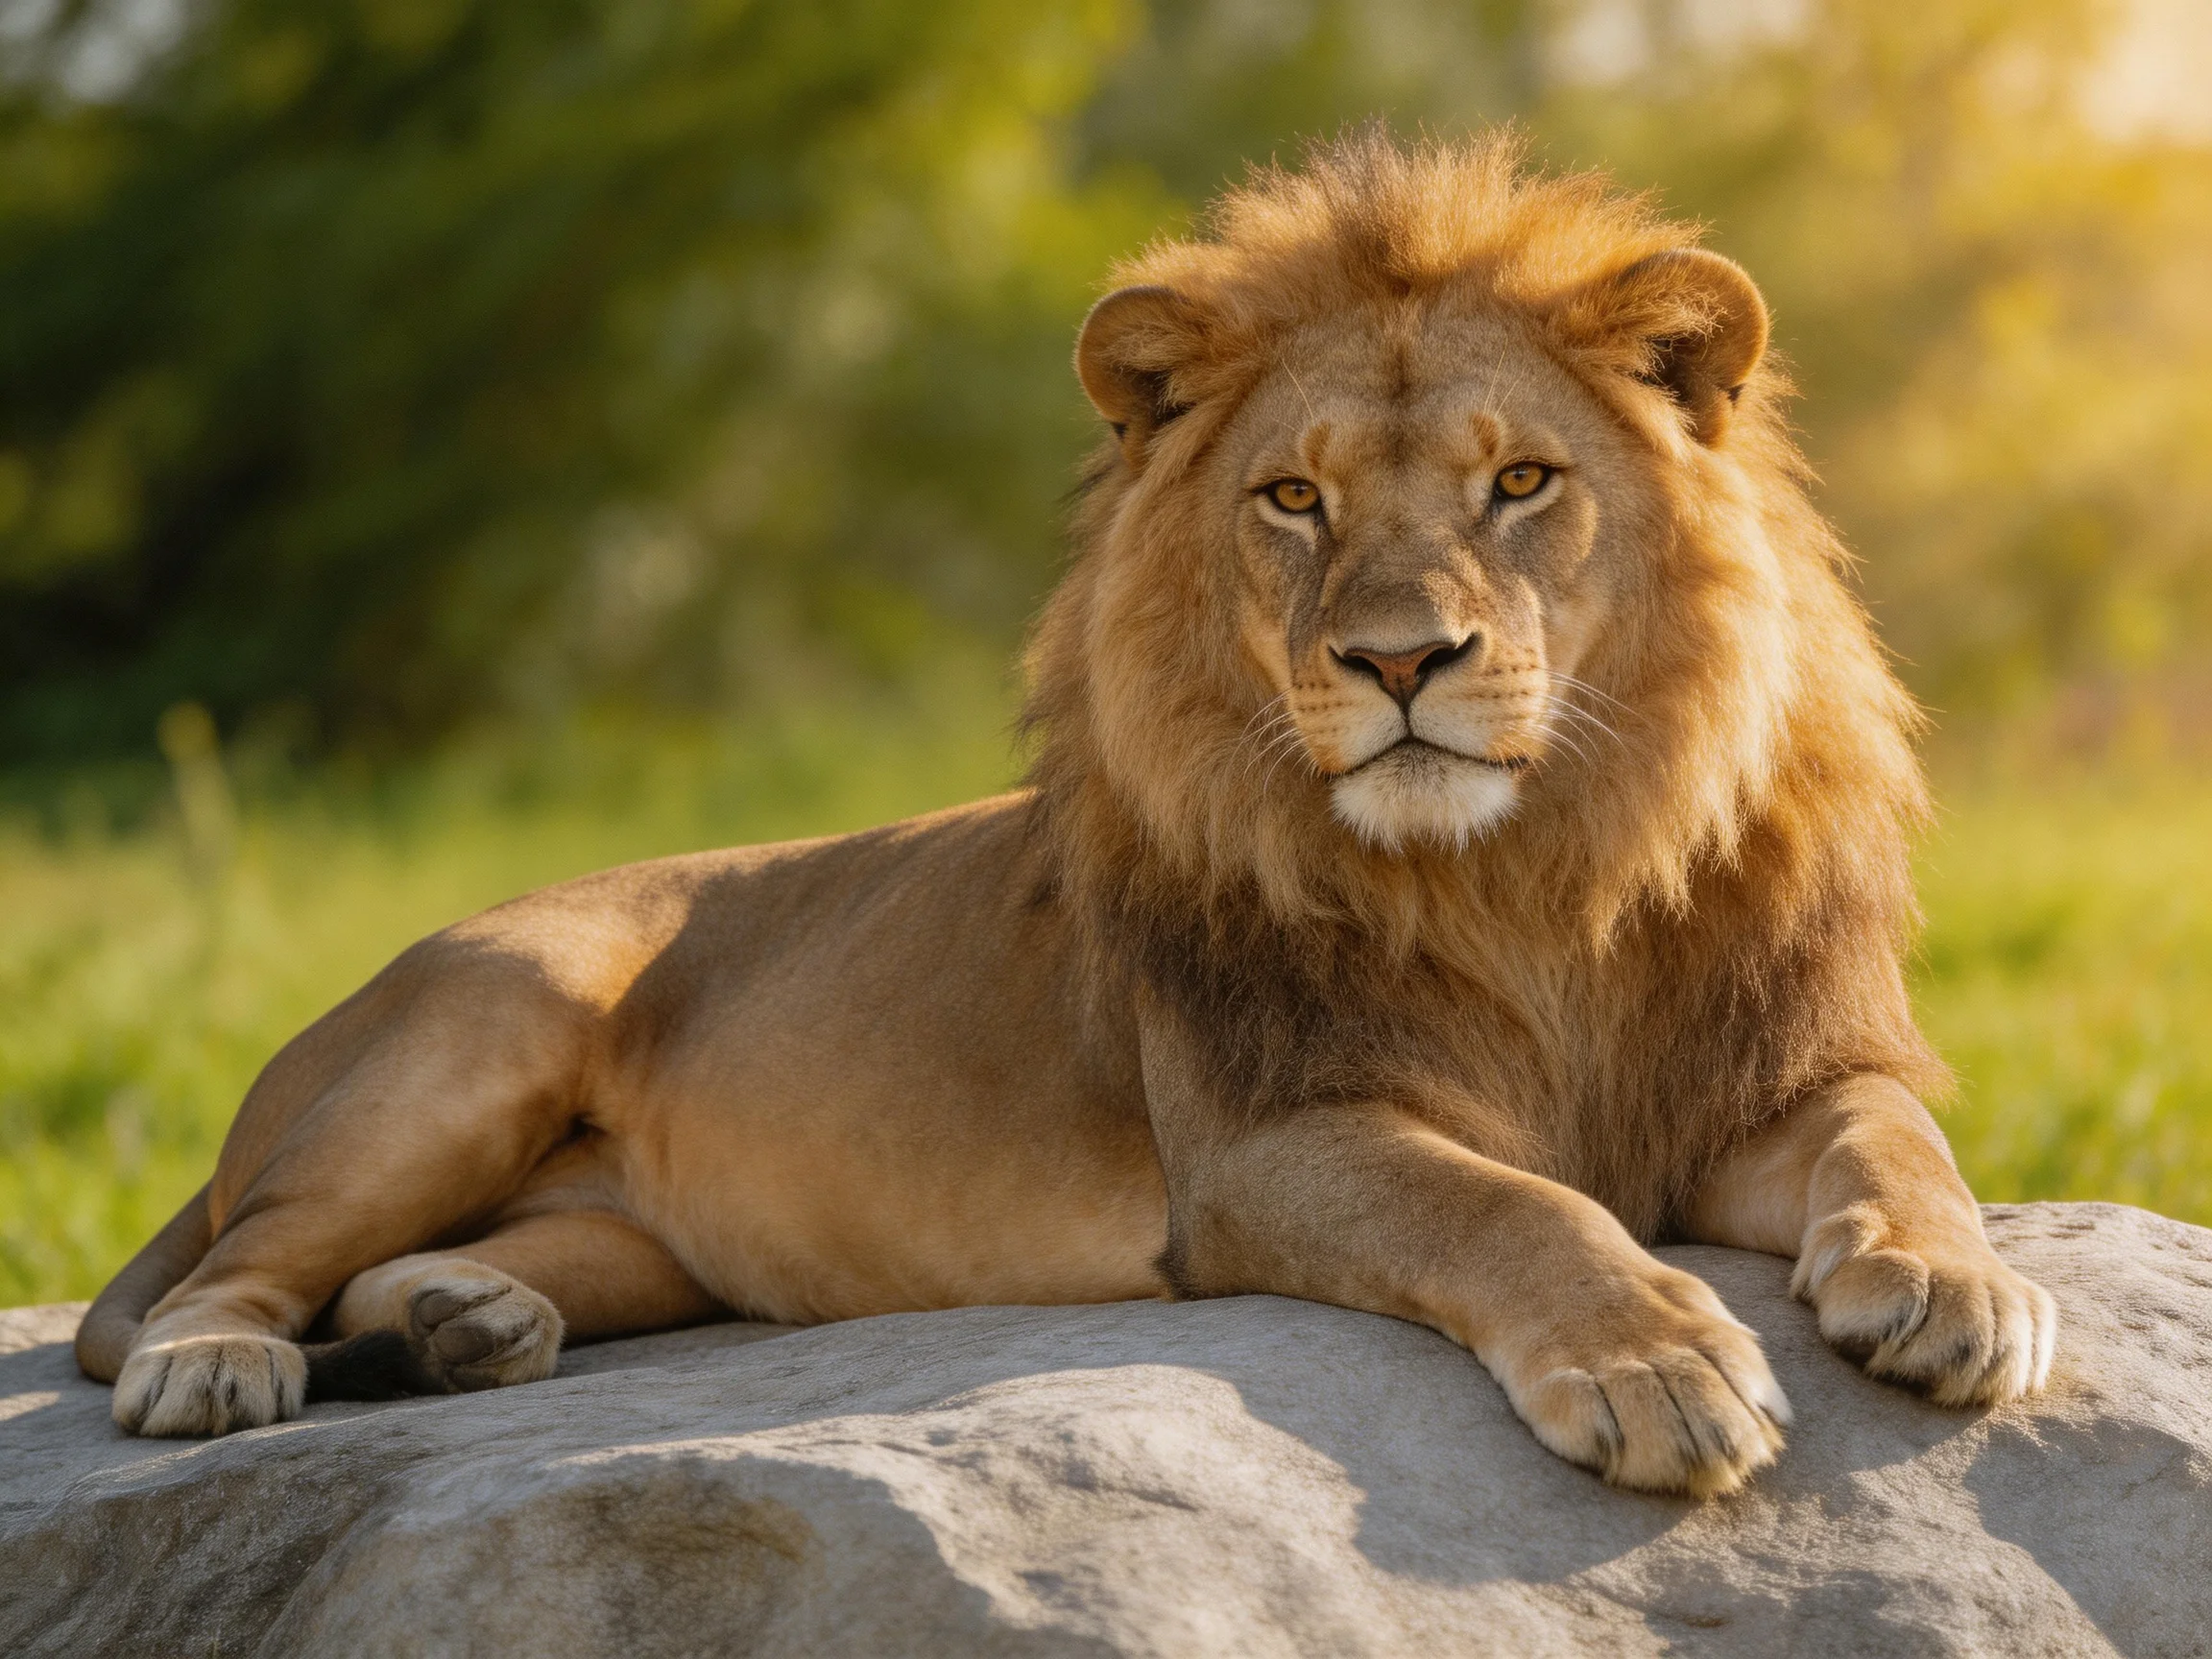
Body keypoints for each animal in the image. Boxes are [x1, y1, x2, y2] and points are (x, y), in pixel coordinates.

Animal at [77, 134, 2054, 1497]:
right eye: (1289, 498)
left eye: (1518, 482)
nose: (1398, 658)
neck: (1532, 874)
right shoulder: (1267, 1148)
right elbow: (1513, 1209)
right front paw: (1658, 1361)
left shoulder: (1771, 1074)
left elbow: (1897, 1138)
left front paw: (1955, 1286)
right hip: (475, 1034)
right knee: (230, 1272)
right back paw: (216, 1373)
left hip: (626, 1240)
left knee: (423, 1272)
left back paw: (470, 1325)